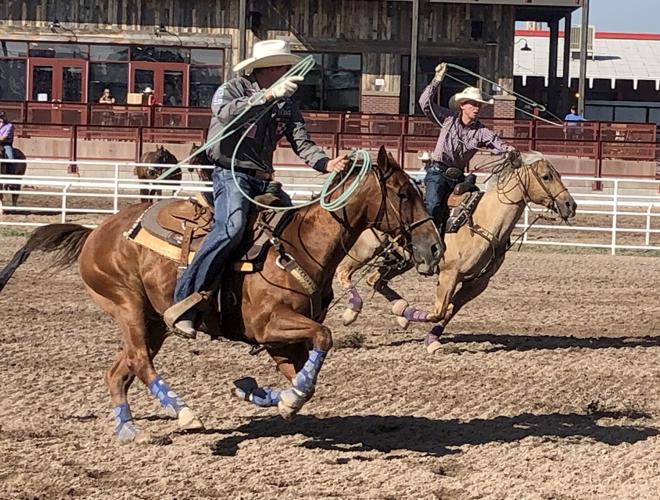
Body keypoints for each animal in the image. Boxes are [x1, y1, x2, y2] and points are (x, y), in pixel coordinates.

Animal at [1, 146, 444, 444]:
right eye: (403, 193)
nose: (435, 246)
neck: (301, 246)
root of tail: (95, 232)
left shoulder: (280, 342)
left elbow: (304, 379)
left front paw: (264, 393)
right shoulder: (271, 327)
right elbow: (325, 337)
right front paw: (284, 397)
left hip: (153, 320)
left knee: (119, 370)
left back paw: (129, 429)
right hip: (125, 305)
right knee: (140, 362)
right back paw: (183, 413)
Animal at [336, 152, 576, 352]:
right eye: (546, 176)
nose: (570, 205)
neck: (484, 221)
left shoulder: (477, 283)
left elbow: (449, 310)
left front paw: (431, 341)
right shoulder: (449, 274)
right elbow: (437, 312)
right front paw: (413, 319)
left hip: (402, 260)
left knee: (374, 280)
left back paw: (399, 311)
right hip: (365, 248)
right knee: (343, 271)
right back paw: (351, 313)